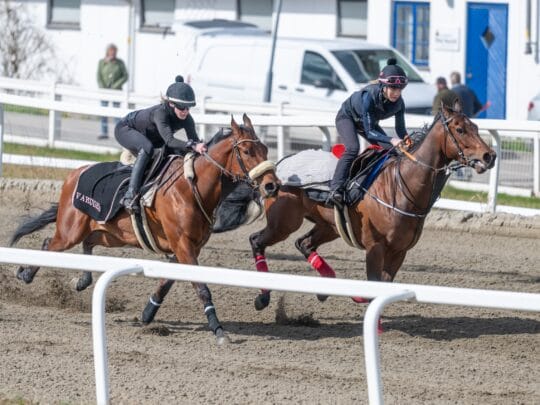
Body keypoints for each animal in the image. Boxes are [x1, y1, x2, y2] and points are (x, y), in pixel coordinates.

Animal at [10, 114, 280, 344]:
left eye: (266, 150)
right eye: (247, 151)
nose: (272, 186)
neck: (193, 186)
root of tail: (74, 173)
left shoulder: (187, 247)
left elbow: (167, 281)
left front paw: (148, 313)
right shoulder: (182, 244)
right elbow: (201, 288)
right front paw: (218, 330)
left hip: (111, 234)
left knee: (87, 242)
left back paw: (82, 279)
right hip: (70, 230)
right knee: (49, 244)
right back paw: (26, 273)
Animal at [248, 102, 496, 312]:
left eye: (475, 126)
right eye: (460, 129)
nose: (490, 155)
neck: (400, 188)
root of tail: (278, 166)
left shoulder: (400, 251)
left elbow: (383, 286)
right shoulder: (374, 247)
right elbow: (374, 286)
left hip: (329, 226)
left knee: (304, 243)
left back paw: (325, 288)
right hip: (284, 222)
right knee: (257, 240)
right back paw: (263, 296)